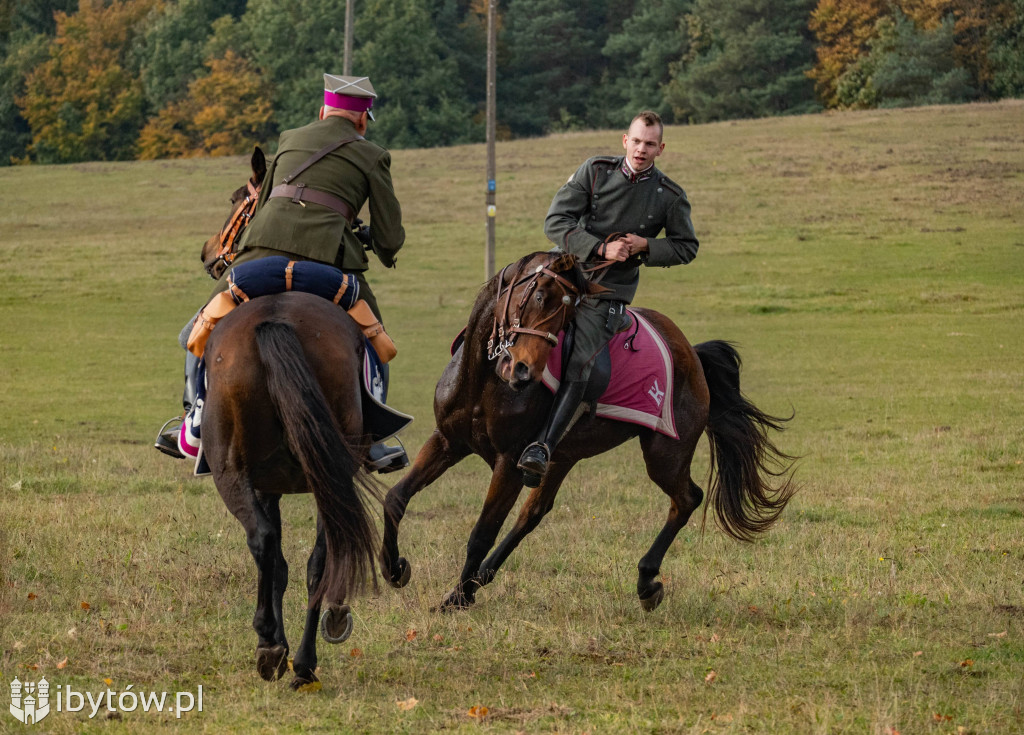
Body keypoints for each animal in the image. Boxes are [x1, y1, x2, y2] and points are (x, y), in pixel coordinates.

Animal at [195, 149, 380, 692]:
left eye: (239, 199)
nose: (208, 252)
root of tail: (276, 318)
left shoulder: (265, 483)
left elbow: (274, 558)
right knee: (313, 554)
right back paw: (298, 656)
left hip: (236, 470)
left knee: (269, 543)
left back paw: (277, 648)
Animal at [380, 251, 794, 610]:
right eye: (538, 296)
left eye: (567, 318)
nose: (523, 371)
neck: (483, 380)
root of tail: (691, 354)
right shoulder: (448, 442)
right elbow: (396, 498)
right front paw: (394, 569)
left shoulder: (508, 462)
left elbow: (482, 531)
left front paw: (458, 598)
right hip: (560, 458)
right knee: (534, 513)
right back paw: (482, 577)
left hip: (664, 455)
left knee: (687, 498)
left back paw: (647, 582)